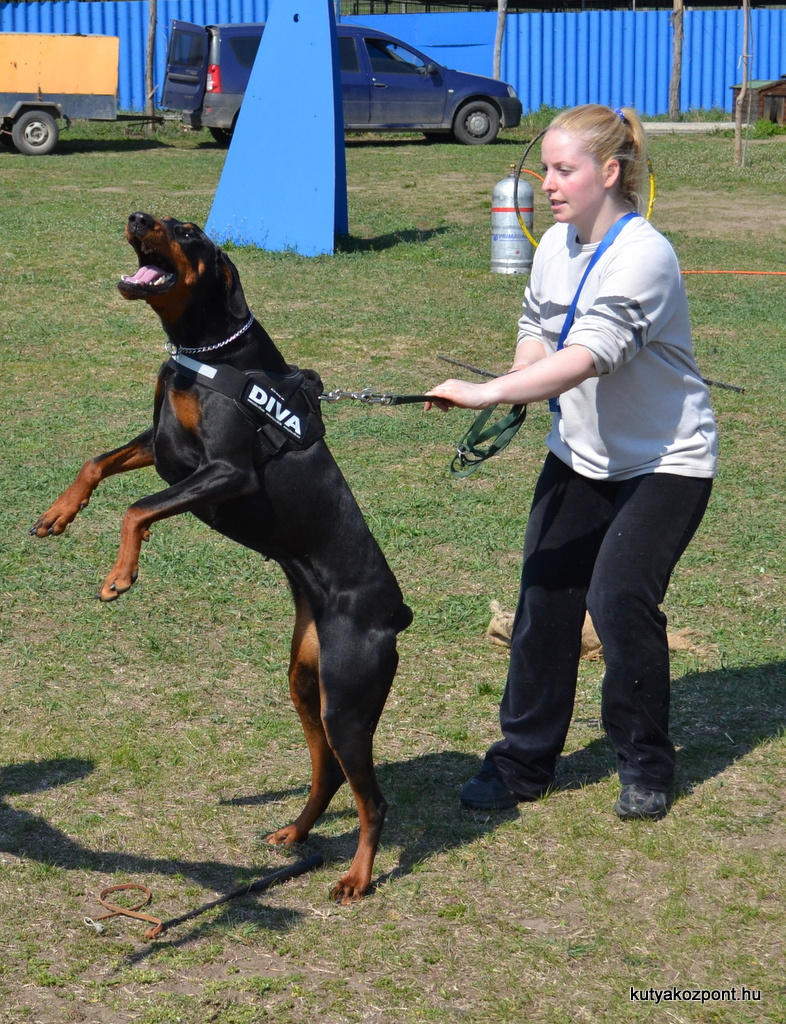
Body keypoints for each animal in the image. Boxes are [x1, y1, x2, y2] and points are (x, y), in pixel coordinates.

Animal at [30, 211, 411, 901]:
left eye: (185, 232)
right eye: (159, 218)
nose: (136, 217)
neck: (204, 355)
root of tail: (394, 613)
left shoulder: (226, 471)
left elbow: (137, 509)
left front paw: (120, 575)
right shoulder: (164, 445)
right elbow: (97, 462)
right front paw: (59, 514)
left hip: (347, 700)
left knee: (373, 800)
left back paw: (357, 877)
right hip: (305, 683)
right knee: (328, 773)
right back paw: (294, 833)